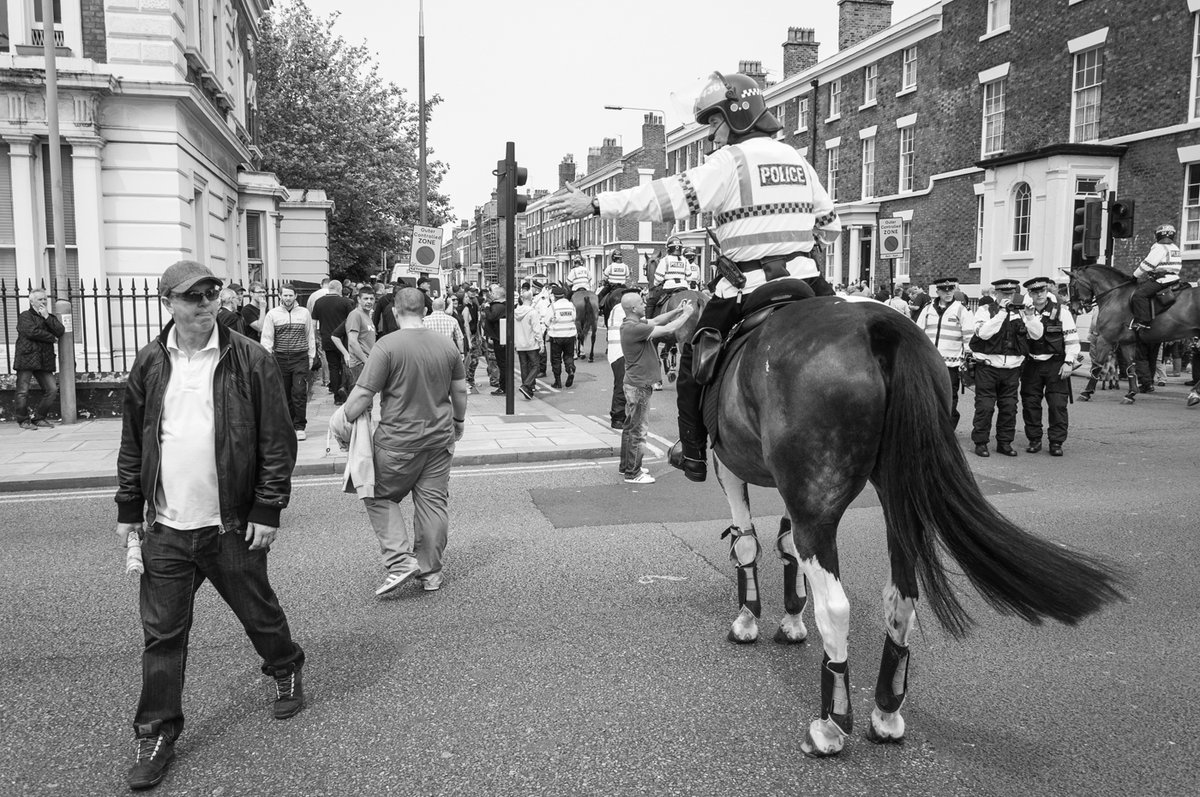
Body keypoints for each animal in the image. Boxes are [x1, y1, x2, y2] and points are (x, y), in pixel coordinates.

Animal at [705, 295, 1118, 758]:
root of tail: (880, 323)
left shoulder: (731, 467)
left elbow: (748, 544)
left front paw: (748, 620)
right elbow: (787, 544)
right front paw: (791, 621)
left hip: (819, 508)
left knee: (836, 608)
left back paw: (831, 725)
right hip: (894, 503)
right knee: (901, 599)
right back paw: (886, 713)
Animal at [1070, 262, 1200, 405]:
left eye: (1072, 286)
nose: (1073, 308)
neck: (1115, 295)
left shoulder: (1105, 339)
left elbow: (1097, 365)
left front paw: (1086, 392)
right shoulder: (1127, 343)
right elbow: (1131, 367)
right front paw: (1131, 394)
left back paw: (1194, 394)